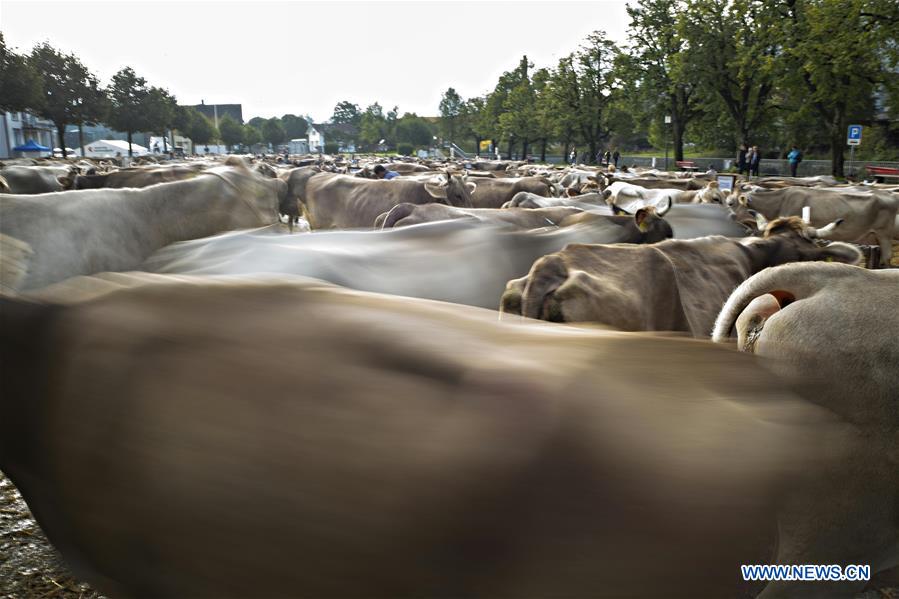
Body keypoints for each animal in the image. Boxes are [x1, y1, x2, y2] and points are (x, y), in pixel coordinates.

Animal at [726, 187, 899, 267]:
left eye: (731, 203)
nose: (730, 216)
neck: (781, 200)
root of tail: (890, 194)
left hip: (884, 235)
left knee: (886, 260)